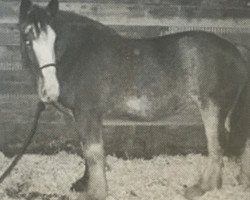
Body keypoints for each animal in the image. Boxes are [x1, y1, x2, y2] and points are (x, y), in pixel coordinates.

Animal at [18, 0, 249, 199]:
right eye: (27, 40)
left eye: (55, 41)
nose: (50, 91)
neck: (80, 54)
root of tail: (237, 50)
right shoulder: (83, 117)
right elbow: (87, 150)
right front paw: (83, 183)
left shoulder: (87, 114)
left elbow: (93, 153)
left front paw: (95, 193)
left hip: (213, 108)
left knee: (217, 146)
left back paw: (203, 188)